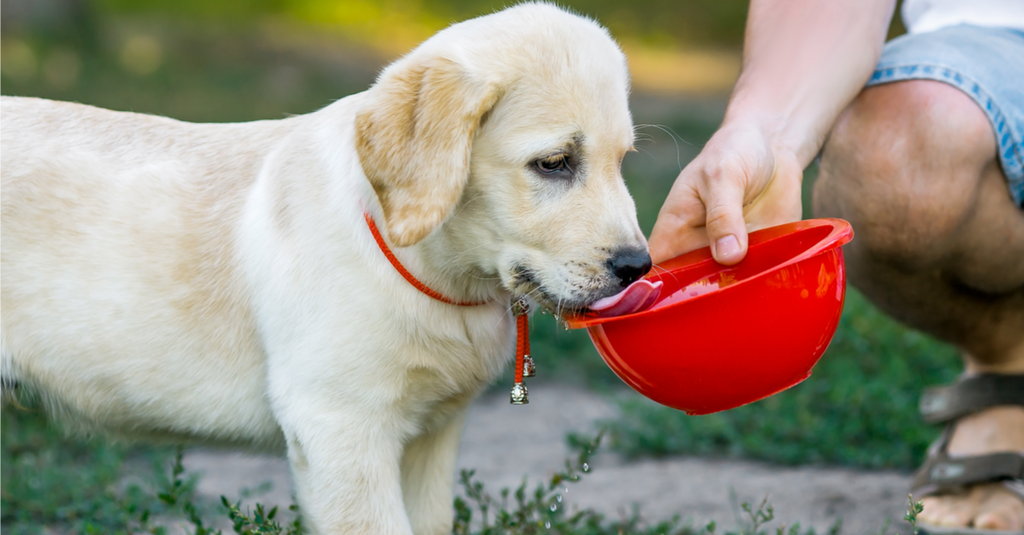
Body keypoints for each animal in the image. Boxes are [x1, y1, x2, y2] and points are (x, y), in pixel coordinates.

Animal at [2, 2, 647, 528]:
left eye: (622, 161)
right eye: (554, 163)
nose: (637, 266)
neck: (434, 271)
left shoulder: (433, 436)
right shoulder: (339, 428)